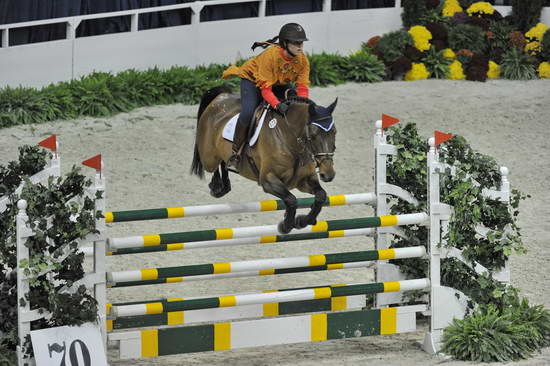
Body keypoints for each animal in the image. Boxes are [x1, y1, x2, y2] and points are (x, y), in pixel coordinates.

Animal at [192, 85, 338, 234]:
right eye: (313, 135)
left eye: (334, 132)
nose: (328, 174)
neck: (289, 139)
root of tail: (220, 98)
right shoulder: (268, 180)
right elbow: (291, 200)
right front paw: (286, 225)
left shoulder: (303, 180)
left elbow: (321, 195)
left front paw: (302, 221)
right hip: (208, 157)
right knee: (213, 165)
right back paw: (217, 186)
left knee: (223, 162)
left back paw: (225, 184)